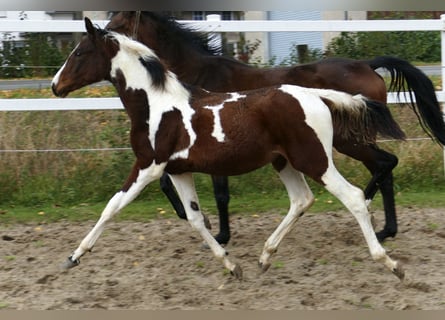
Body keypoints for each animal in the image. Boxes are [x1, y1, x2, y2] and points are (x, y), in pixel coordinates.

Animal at [50, 18, 404, 280]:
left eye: (79, 53)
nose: (55, 85)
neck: (156, 105)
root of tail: (318, 96)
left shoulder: (148, 165)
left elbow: (112, 206)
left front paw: (74, 256)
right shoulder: (178, 171)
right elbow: (195, 218)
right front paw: (232, 265)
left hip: (316, 159)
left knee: (355, 196)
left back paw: (389, 261)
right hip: (285, 162)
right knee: (302, 199)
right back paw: (265, 257)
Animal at [106, 11, 444, 244]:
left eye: (117, 24)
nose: (102, 35)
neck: (195, 79)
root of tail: (368, 65)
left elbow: (218, 193)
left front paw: (219, 235)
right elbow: (169, 183)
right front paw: (207, 226)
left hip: (349, 141)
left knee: (386, 164)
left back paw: (373, 216)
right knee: (385, 168)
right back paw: (386, 229)